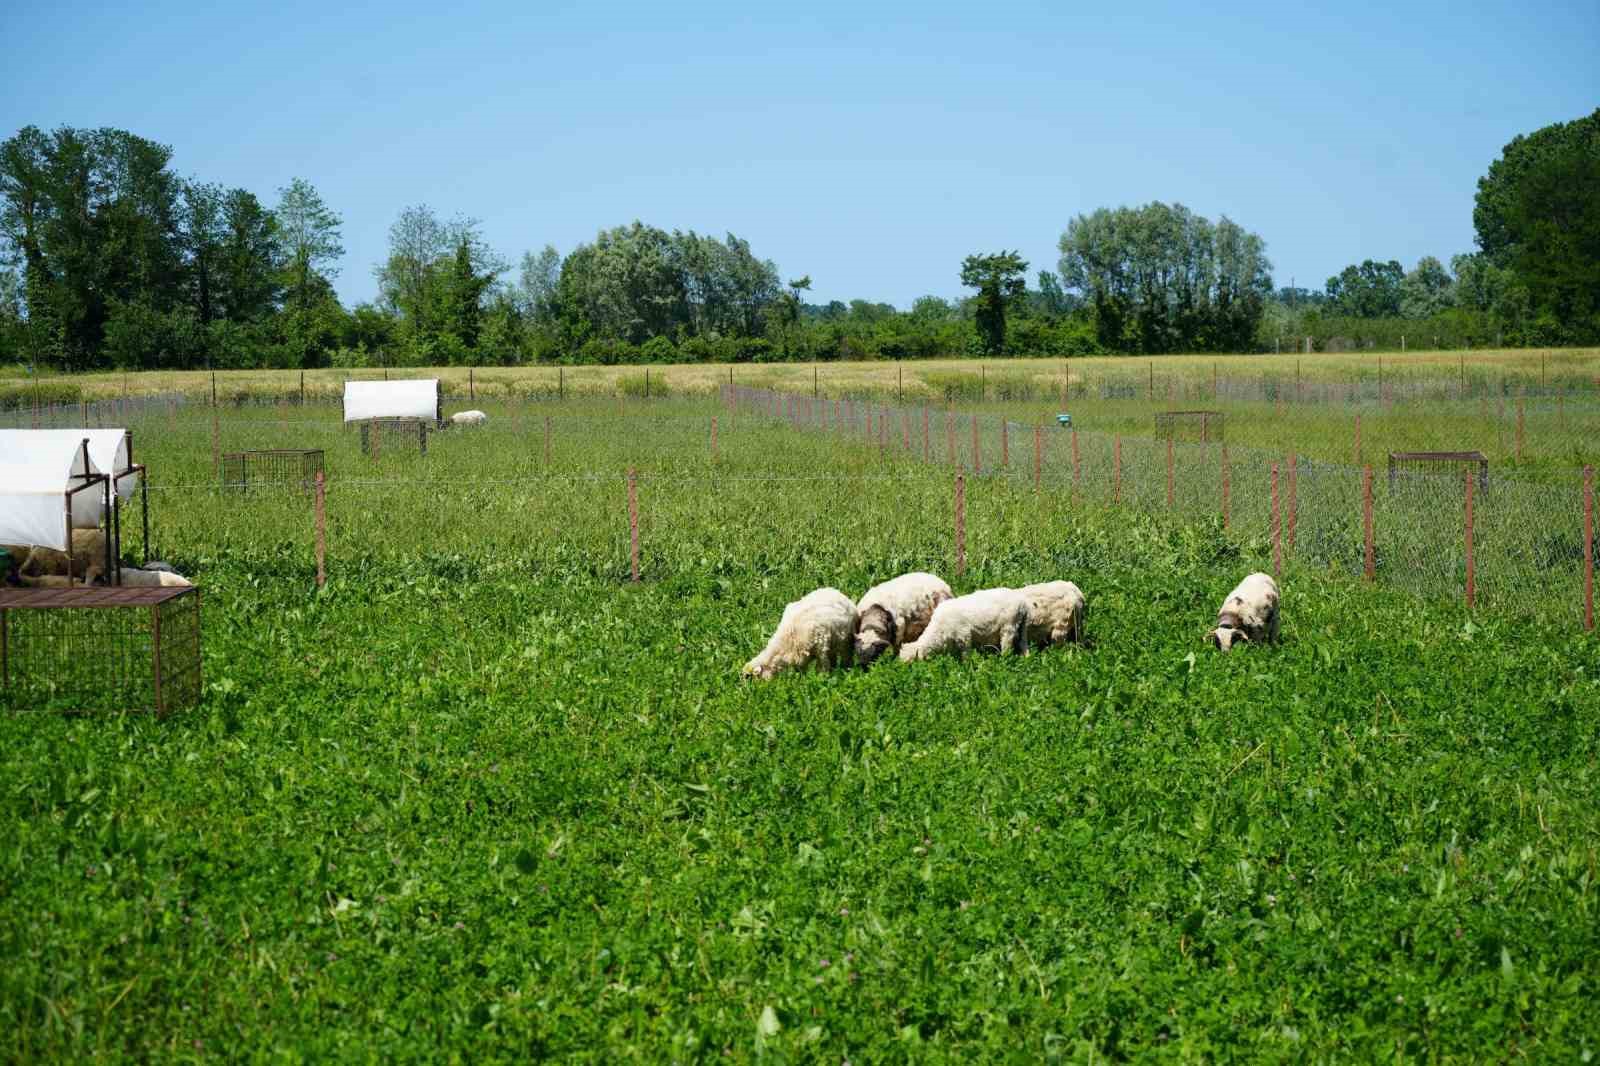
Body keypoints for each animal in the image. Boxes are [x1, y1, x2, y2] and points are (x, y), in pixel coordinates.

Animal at [896, 585, 1030, 659]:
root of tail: (1022, 603)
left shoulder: (963, 634)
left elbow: (966, 653)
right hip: (1021, 626)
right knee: (1023, 643)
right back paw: (1026, 657)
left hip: (1009, 626)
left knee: (1007, 646)